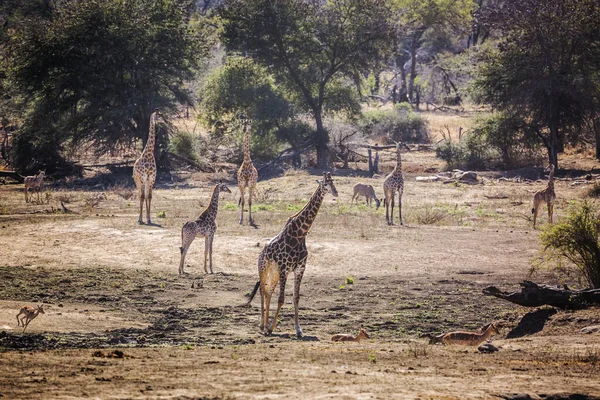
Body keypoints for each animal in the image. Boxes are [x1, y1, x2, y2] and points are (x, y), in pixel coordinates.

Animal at [244, 172, 338, 338]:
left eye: (333, 182)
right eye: (325, 184)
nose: (336, 193)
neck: (300, 234)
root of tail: (261, 254)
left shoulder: (300, 269)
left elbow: (296, 298)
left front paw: (298, 330)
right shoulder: (284, 268)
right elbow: (281, 299)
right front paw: (270, 328)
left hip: (274, 274)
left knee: (268, 292)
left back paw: (265, 324)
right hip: (263, 269)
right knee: (262, 291)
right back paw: (262, 325)